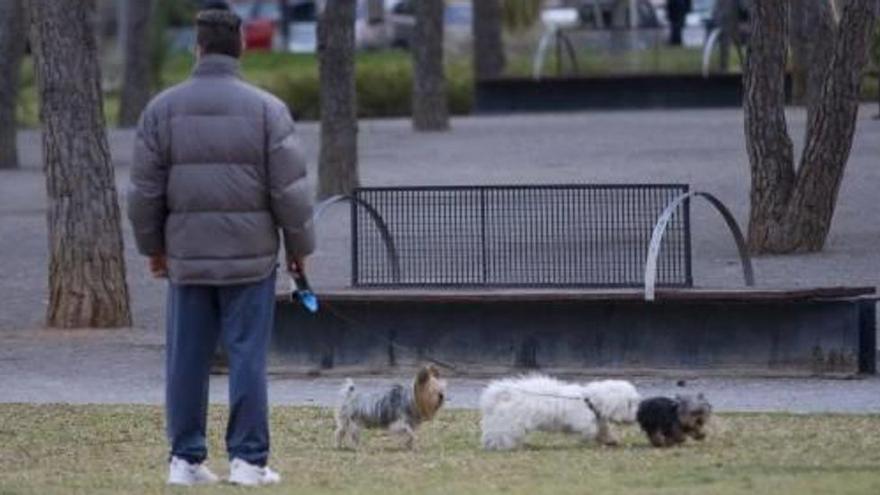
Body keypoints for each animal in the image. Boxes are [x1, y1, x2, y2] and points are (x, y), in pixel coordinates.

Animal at [482, 378, 640, 452]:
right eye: (630, 404)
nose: (637, 415)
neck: (590, 401)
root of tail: (504, 395)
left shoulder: (599, 420)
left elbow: (603, 430)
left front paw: (610, 440)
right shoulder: (582, 421)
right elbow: (590, 430)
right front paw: (587, 440)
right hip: (509, 424)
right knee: (500, 435)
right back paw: (500, 446)